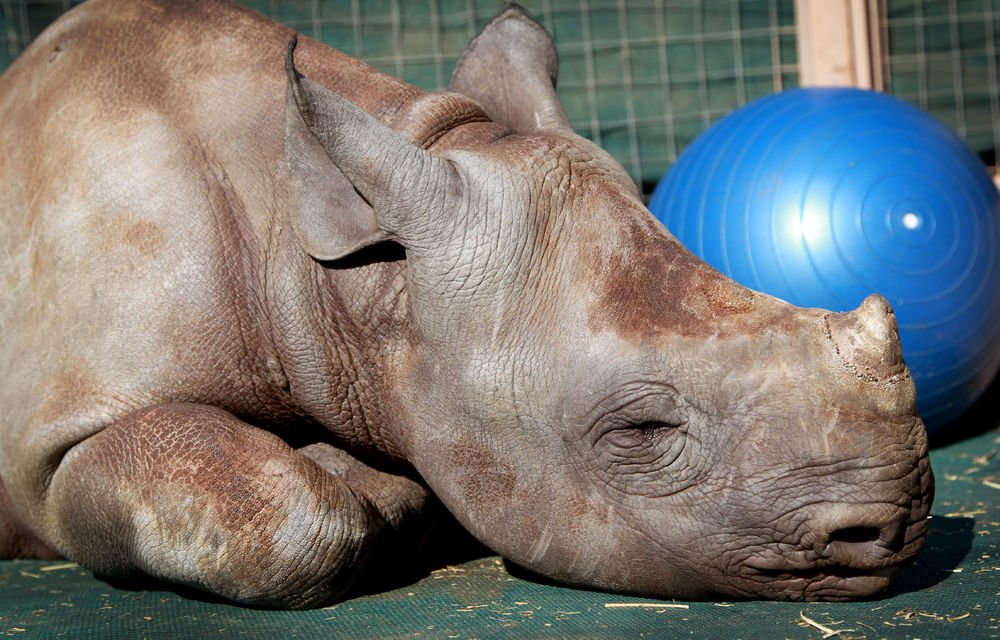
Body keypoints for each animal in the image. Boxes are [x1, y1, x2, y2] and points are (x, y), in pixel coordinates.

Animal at [1, 0, 936, 608]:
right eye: (643, 431)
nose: (895, 527)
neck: (344, 274)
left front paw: (371, 479)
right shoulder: (52, 443)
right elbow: (285, 511)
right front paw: (353, 483)